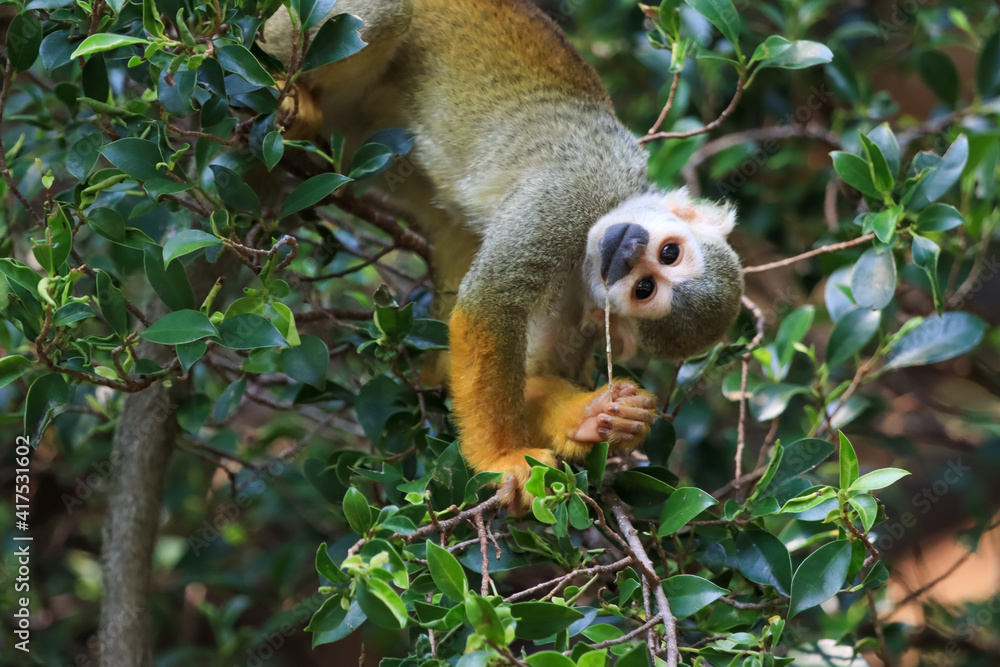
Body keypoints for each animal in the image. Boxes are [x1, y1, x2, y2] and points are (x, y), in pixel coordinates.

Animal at [260, 0, 744, 507]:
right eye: (668, 253)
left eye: (644, 288)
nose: (627, 252)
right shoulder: (573, 195)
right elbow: (490, 305)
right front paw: (503, 458)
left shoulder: (580, 311)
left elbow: (529, 372)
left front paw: (594, 417)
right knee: (386, 15)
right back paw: (290, 93)